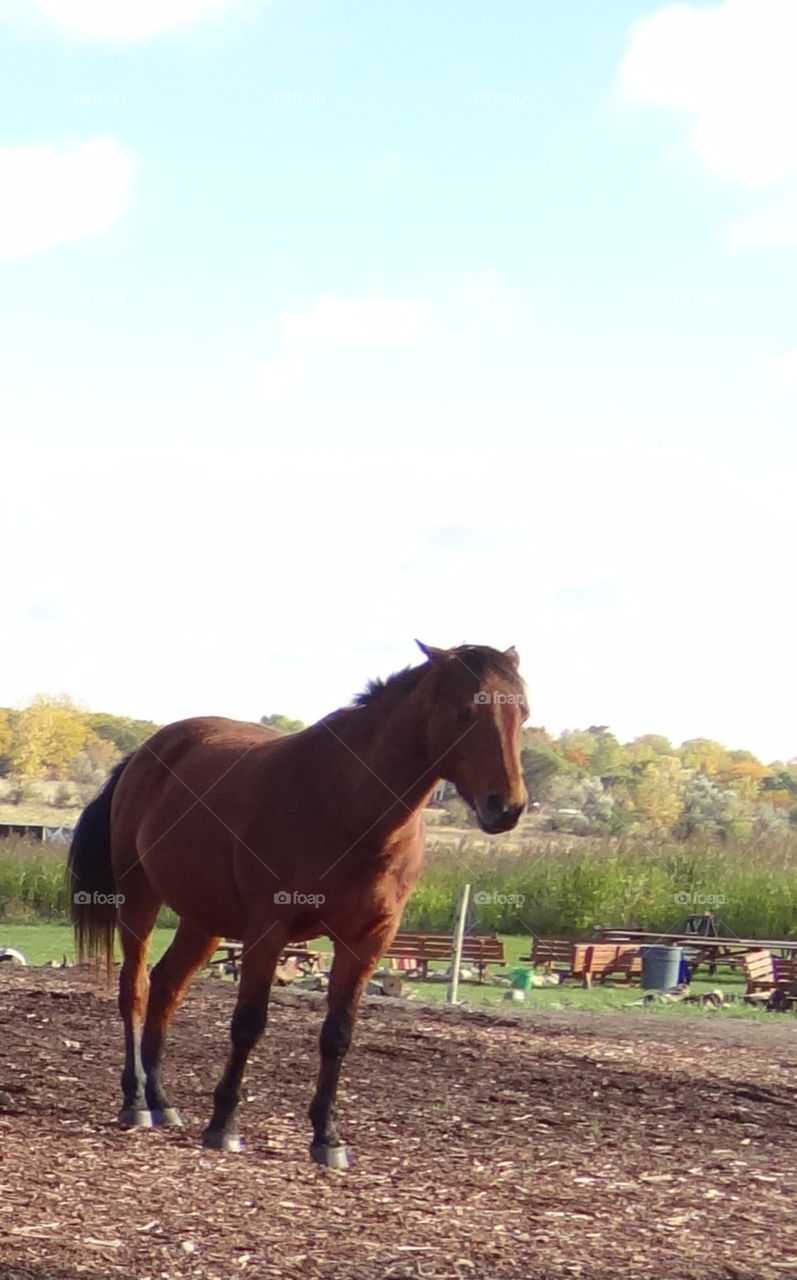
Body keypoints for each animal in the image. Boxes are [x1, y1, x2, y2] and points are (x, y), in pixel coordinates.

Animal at [68, 641, 528, 1168]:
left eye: (524, 713)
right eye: (465, 711)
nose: (506, 807)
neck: (344, 802)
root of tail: (147, 752)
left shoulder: (367, 942)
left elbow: (338, 1034)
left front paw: (327, 1137)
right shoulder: (269, 931)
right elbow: (249, 1024)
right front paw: (224, 1124)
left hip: (204, 921)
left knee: (166, 987)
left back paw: (162, 1100)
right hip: (139, 898)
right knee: (136, 990)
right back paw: (137, 1101)